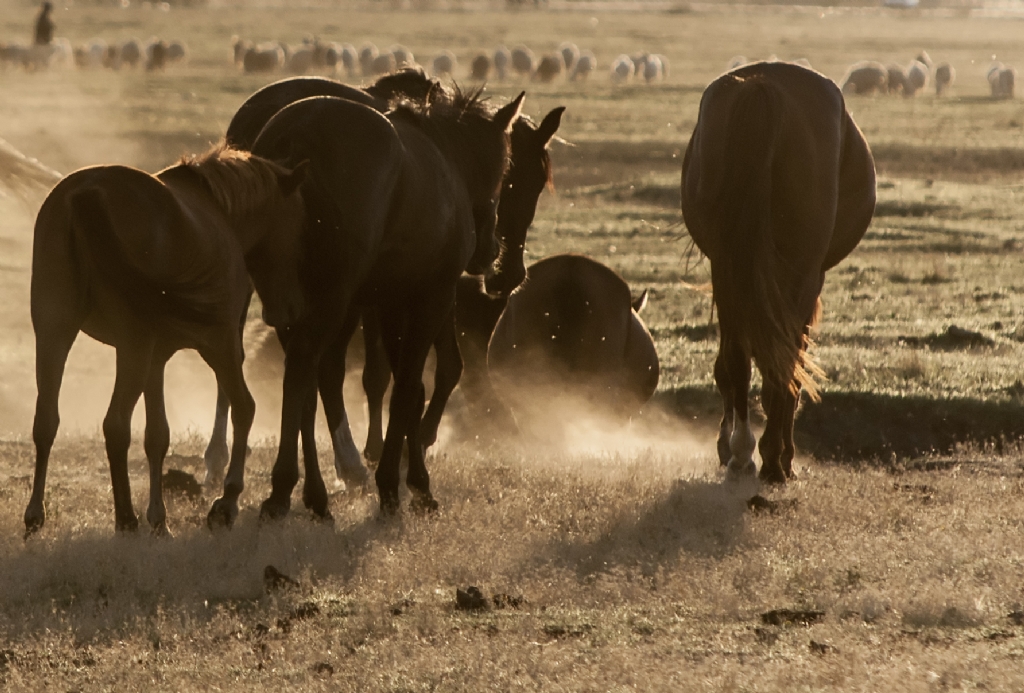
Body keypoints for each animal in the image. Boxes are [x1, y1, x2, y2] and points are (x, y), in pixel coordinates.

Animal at [25, 146, 305, 536]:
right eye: (298, 224)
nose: (290, 310)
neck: (218, 213)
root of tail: (86, 192)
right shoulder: (219, 344)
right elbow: (244, 407)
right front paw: (227, 502)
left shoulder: (157, 358)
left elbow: (157, 435)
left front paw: (159, 519)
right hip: (132, 346)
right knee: (115, 424)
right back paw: (125, 519)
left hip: (55, 332)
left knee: (46, 421)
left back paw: (36, 514)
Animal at [679, 60, 872, 481]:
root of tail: (761, 84)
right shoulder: (807, 280)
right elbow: (794, 359)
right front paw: (782, 454)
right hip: (798, 274)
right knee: (781, 362)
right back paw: (771, 458)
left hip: (729, 270)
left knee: (736, 361)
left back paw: (740, 452)